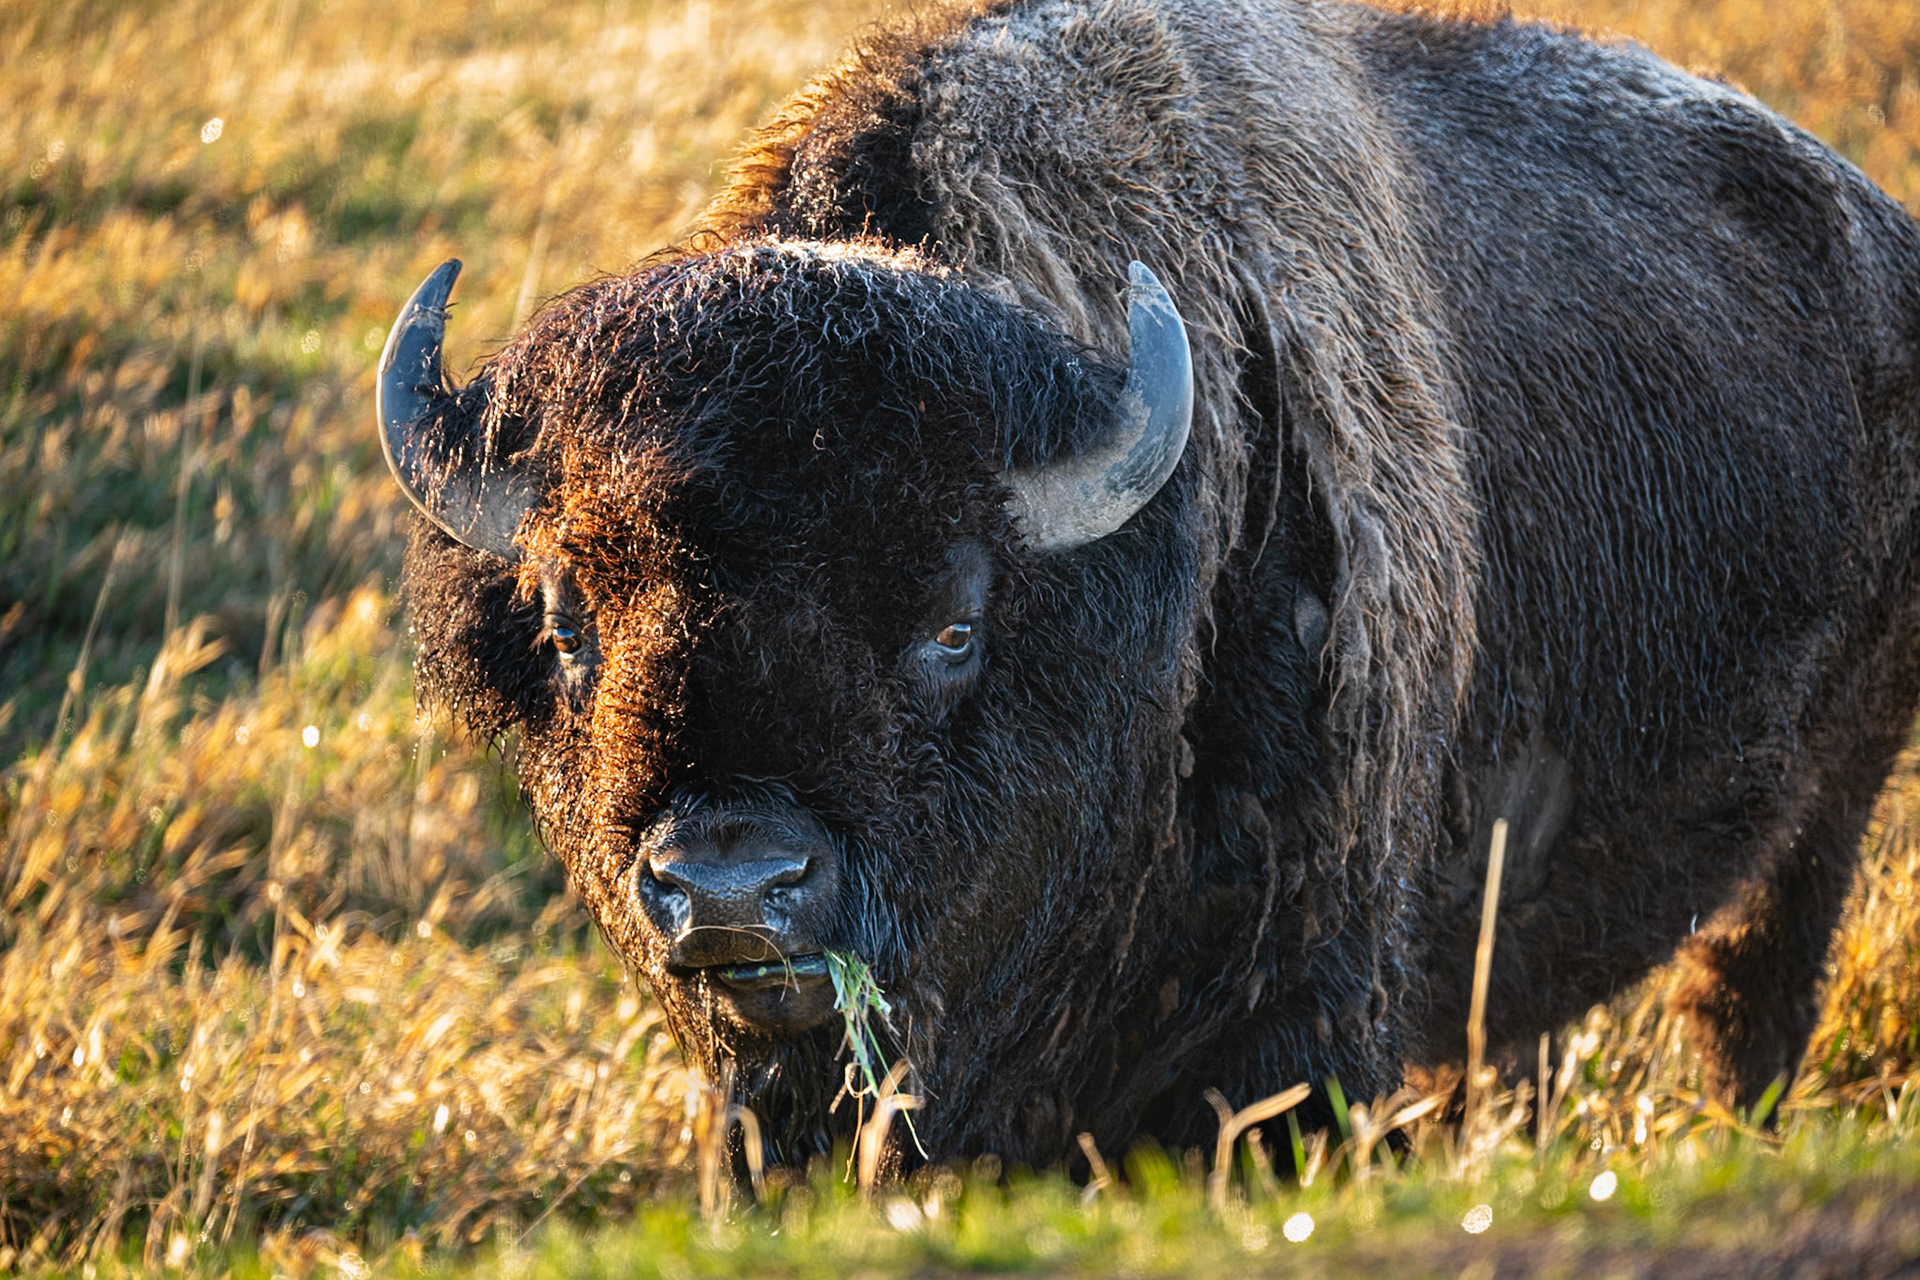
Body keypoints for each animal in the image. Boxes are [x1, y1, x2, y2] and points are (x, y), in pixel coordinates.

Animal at [378, 0, 1920, 1168]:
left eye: (954, 624)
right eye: (568, 625)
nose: (734, 886)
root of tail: (1878, 233)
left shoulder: (1295, 1014)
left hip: (1828, 810)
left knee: (1755, 989)